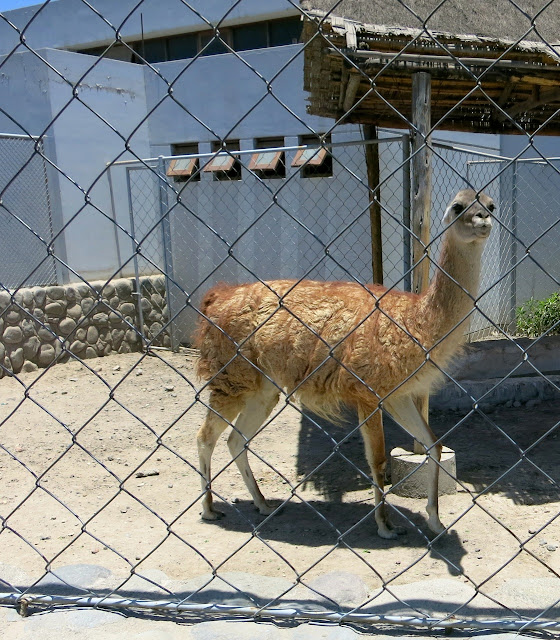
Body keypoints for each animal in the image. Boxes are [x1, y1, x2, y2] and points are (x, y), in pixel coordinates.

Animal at [194, 189, 494, 538]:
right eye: (459, 207)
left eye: (491, 206)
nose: (483, 219)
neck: (415, 322)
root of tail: (218, 297)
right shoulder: (367, 392)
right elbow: (378, 461)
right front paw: (385, 525)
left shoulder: (398, 394)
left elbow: (434, 445)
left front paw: (435, 521)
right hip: (230, 379)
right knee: (206, 437)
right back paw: (209, 509)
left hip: (262, 387)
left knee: (236, 439)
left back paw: (262, 504)